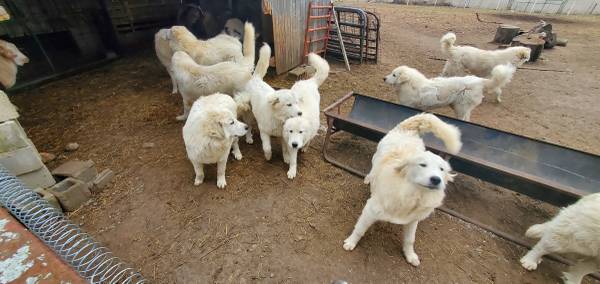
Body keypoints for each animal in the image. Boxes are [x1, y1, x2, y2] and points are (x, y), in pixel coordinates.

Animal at [342, 112, 464, 266]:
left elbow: (410, 240)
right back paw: (369, 179)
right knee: (372, 168)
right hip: (376, 156)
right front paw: (350, 243)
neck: (411, 194)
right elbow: (359, 229)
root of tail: (407, 130)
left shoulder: (413, 220)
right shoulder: (370, 210)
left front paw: (410, 255)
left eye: (441, 169)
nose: (436, 179)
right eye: (422, 165)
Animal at [384, 63, 516, 120]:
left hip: (461, 107)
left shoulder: (409, 106)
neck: (411, 85)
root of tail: (479, 80)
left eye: (394, 75)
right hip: (458, 106)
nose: (384, 78)